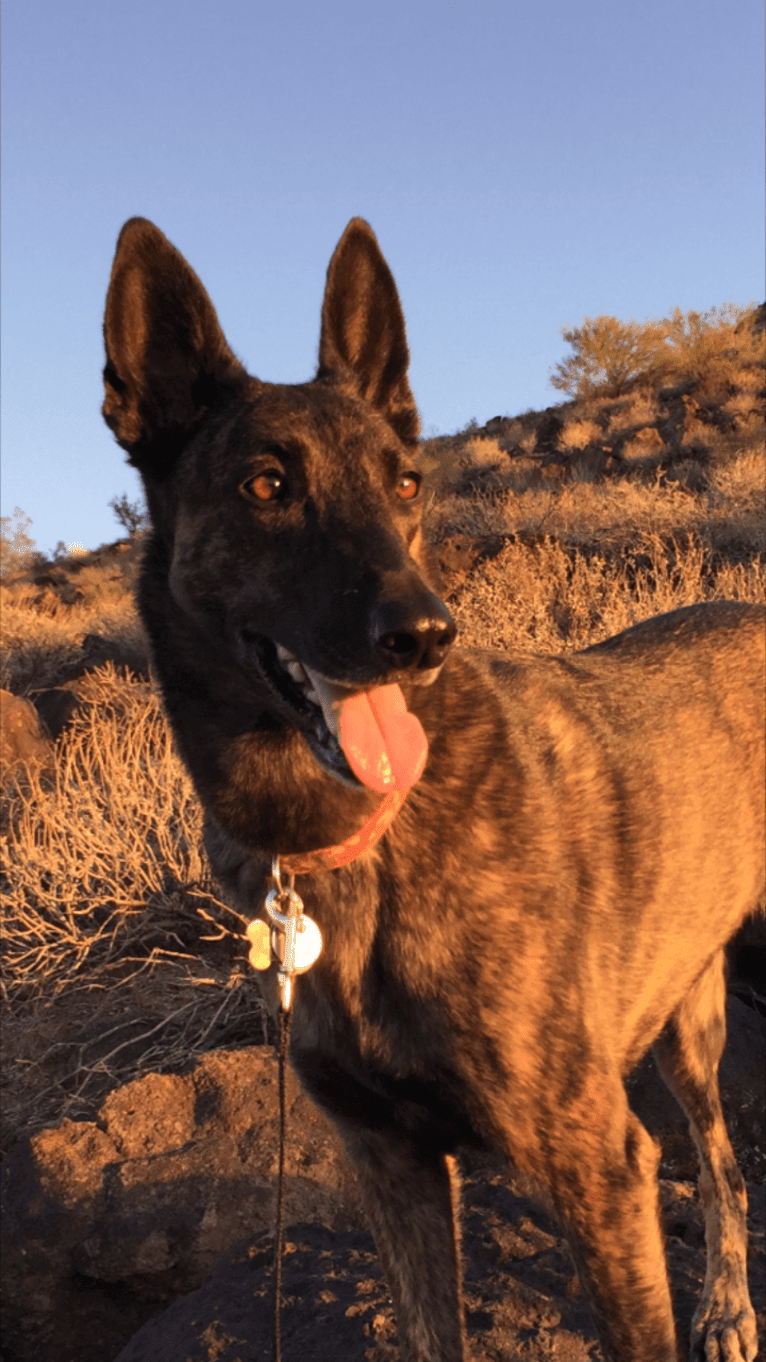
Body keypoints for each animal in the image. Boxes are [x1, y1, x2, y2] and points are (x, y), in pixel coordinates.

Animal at [100, 217, 757, 1356]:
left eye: (406, 484)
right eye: (266, 486)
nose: (423, 635)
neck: (355, 838)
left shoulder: (598, 1166)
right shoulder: (389, 1162)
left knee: (723, 1167)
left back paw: (724, 1309)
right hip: (688, 1005)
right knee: (724, 1160)